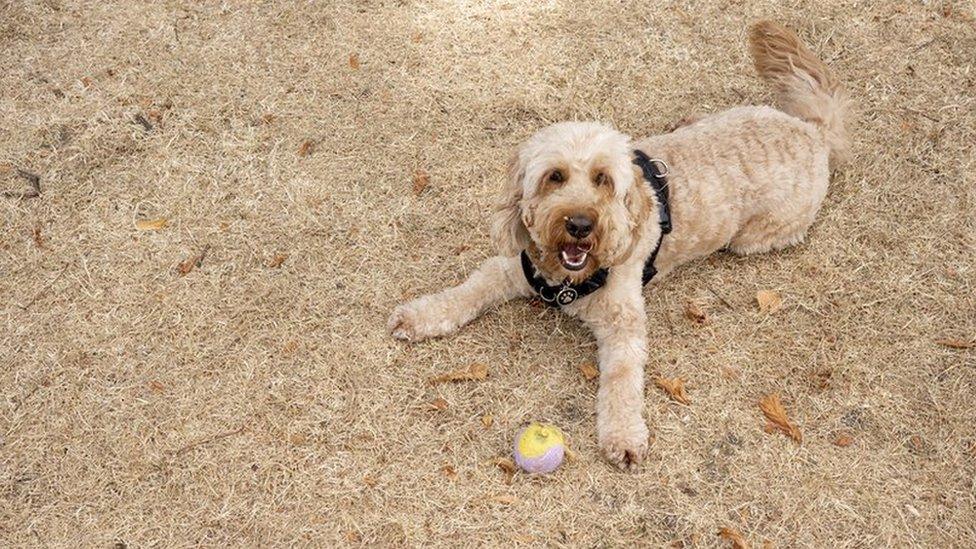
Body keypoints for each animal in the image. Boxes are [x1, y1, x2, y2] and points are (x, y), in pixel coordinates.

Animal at [386, 19, 852, 468]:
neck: (569, 280)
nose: (579, 224)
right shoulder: (515, 266)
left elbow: (622, 379)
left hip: (757, 235)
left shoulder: (624, 323)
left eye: (603, 179)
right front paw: (421, 316)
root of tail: (812, 131)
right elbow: (468, 290)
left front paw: (623, 437)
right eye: (555, 176)